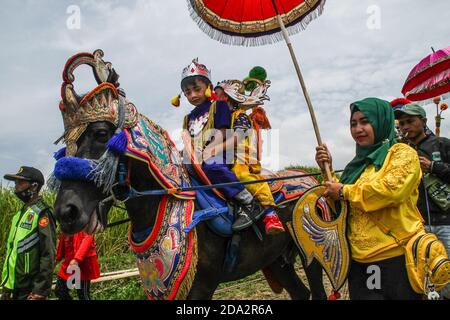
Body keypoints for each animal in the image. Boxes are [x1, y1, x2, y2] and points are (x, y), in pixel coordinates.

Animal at [51, 50, 346, 300]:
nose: (66, 212)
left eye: (101, 133)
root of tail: (309, 179)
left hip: (310, 254)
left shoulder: (201, 285)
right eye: (65, 147)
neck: (167, 200)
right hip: (276, 260)